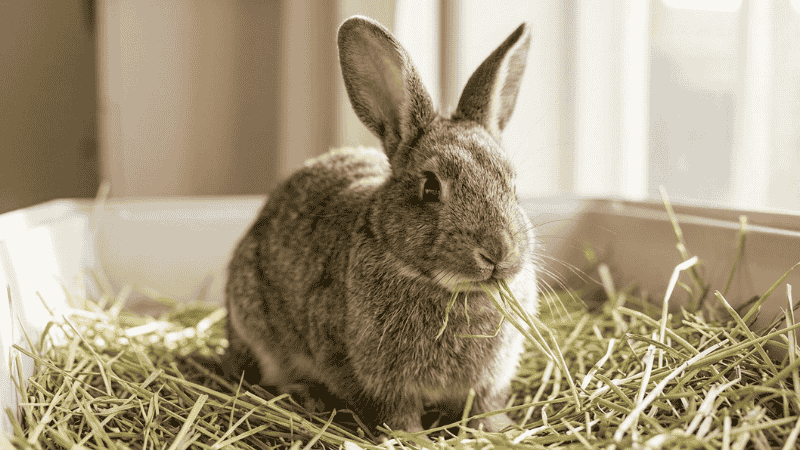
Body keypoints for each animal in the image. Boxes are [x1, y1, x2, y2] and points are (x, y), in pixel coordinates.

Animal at [225, 15, 537, 434]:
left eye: (514, 184)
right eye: (430, 188)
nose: (497, 251)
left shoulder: (488, 383)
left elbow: (485, 406)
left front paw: (499, 430)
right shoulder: (379, 382)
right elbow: (395, 414)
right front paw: (415, 438)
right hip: (256, 327)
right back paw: (306, 396)